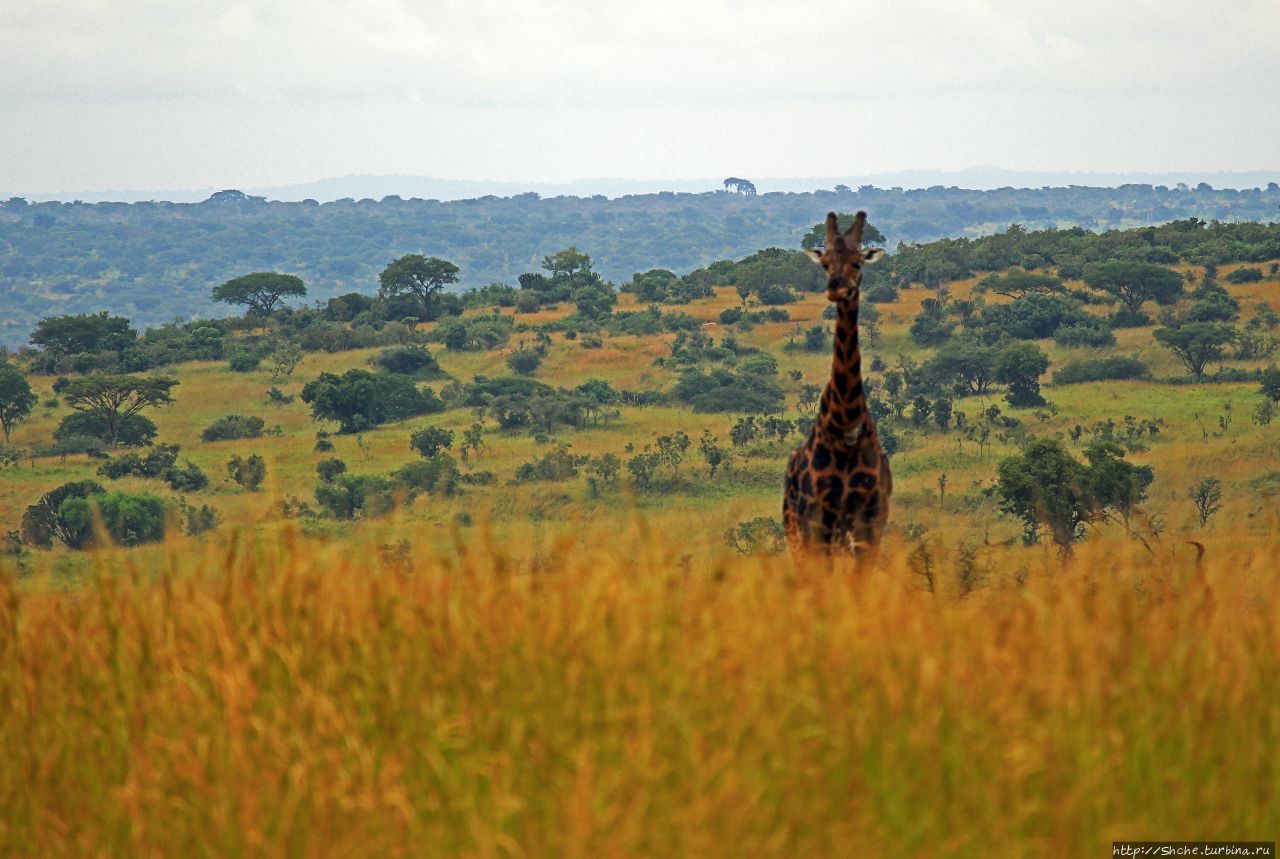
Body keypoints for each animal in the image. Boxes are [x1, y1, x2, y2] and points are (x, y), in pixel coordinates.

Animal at [778, 207, 890, 558]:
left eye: (858, 262)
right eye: (826, 263)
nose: (836, 288)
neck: (846, 424)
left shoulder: (869, 520)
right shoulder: (818, 519)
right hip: (797, 529)